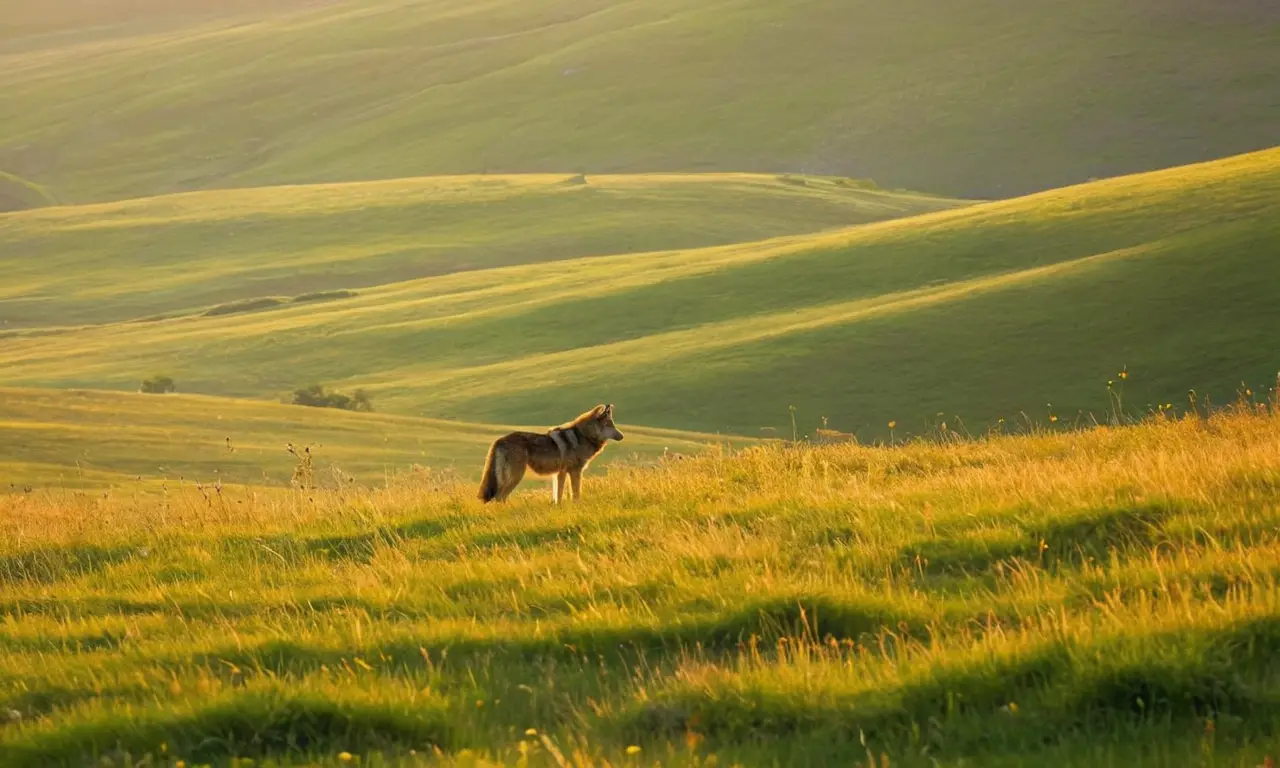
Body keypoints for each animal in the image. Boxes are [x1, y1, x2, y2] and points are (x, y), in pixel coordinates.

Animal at [477, 404, 625, 504]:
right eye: (610, 425)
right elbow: (575, 493)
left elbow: (558, 495)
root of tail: (498, 440)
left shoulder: (560, 473)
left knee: (498, 497)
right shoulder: (574, 472)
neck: (583, 436)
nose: (622, 436)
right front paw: (577, 506)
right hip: (516, 476)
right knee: (499, 497)